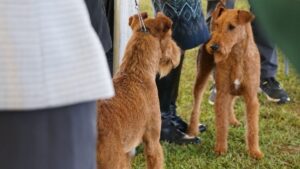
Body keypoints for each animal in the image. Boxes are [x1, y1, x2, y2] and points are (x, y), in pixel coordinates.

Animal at [189, 3, 264, 160]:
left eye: (232, 27)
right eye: (218, 24)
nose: (213, 47)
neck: (236, 56)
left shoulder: (251, 97)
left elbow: (253, 128)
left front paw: (254, 152)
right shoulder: (221, 94)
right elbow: (221, 125)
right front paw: (220, 149)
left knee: (231, 102)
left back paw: (233, 121)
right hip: (202, 76)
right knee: (196, 105)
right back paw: (192, 131)